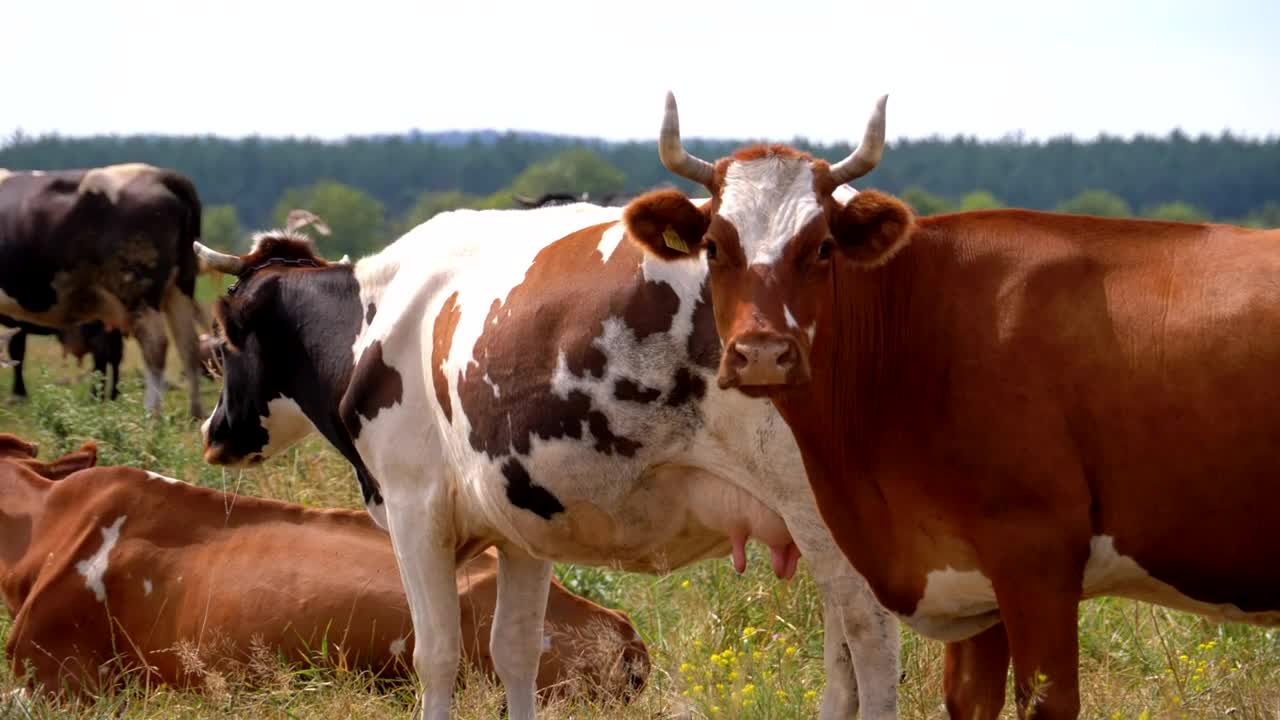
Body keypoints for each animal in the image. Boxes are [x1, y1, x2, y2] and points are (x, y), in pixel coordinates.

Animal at [0, 164, 206, 417]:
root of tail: (160, 175)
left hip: (138, 292)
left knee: (155, 345)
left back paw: (152, 413)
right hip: (180, 286)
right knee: (189, 345)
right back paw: (195, 414)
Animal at [193, 204, 901, 718]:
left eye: (226, 340)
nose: (212, 432)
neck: (380, 319)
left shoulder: (414, 506)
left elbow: (437, 654)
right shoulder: (521, 523)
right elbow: (514, 652)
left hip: (823, 514)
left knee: (870, 642)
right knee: (842, 661)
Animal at [628, 92, 1280, 720]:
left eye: (824, 247)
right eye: (714, 247)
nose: (763, 353)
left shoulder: (1037, 557)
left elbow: (1047, 700)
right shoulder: (970, 582)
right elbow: (969, 699)